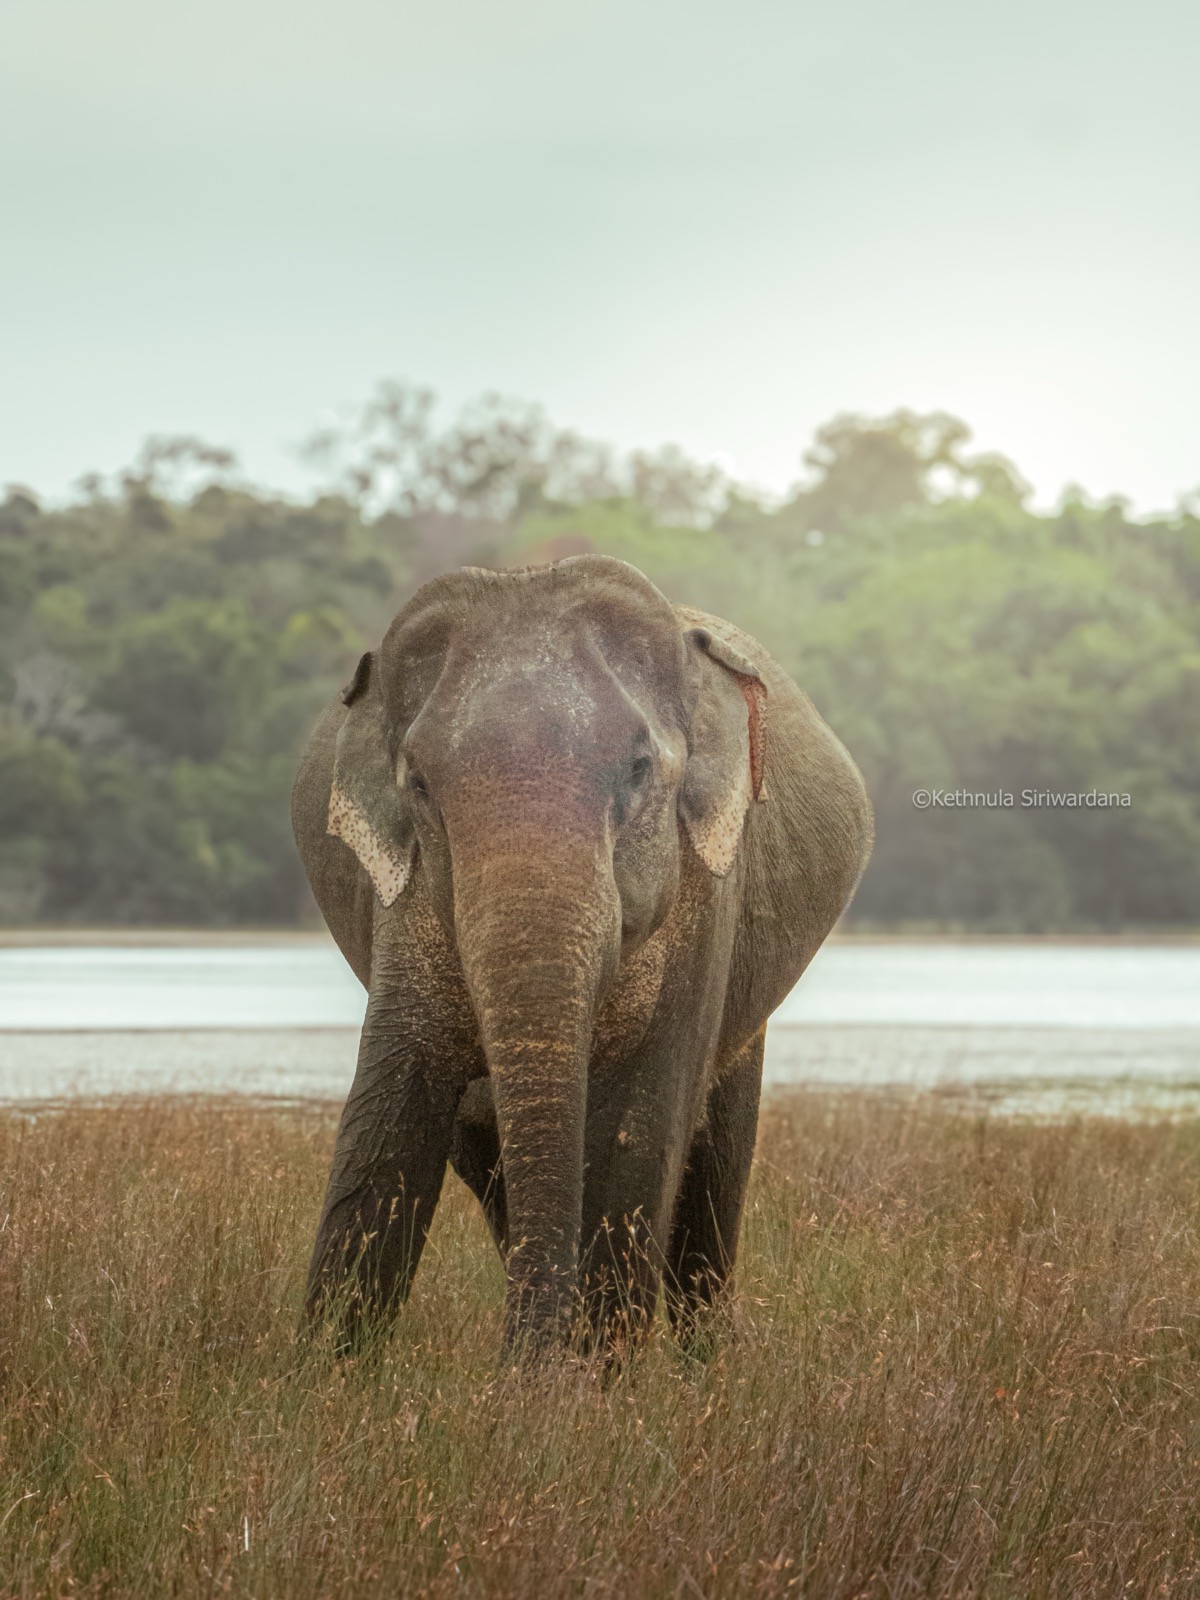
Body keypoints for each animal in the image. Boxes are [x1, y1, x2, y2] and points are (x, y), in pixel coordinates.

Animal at [291, 555, 872, 1359]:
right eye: (419, 787)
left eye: (638, 769)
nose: (517, 1366)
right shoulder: (400, 904)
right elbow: (389, 1116)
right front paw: (323, 1375)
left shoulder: (708, 893)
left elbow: (640, 1129)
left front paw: (587, 1381)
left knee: (716, 1174)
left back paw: (709, 1363)